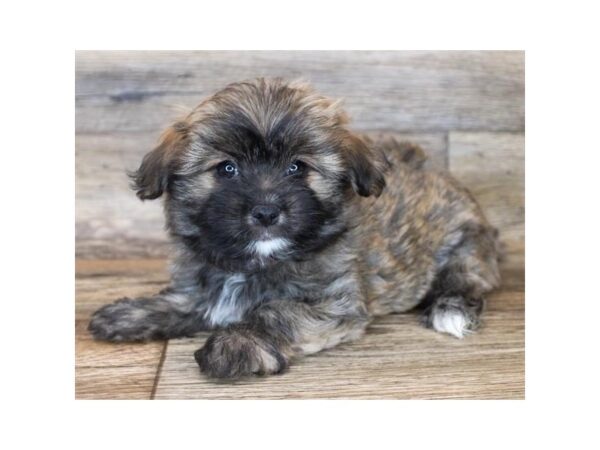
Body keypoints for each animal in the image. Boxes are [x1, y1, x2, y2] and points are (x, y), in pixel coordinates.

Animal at [89, 78, 502, 380]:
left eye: (297, 168)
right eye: (227, 169)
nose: (266, 211)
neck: (254, 262)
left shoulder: (335, 302)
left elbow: (277, 312)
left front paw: (237, 342)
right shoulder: (203, 282)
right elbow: (184, 300)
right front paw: (132, 314)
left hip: (466, 246)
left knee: (464, 278)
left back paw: (451, 309)